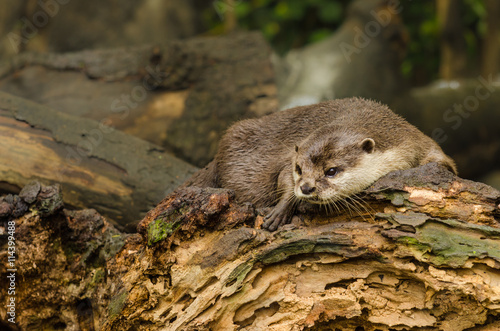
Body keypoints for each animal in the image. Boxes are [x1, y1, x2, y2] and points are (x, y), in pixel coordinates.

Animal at [184, 98, 458, 231]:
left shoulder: (411, 137)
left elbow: (440, 158)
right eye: (299, 169)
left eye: (331, 171)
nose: (307, 188)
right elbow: (282, 175)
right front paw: (281, 209)